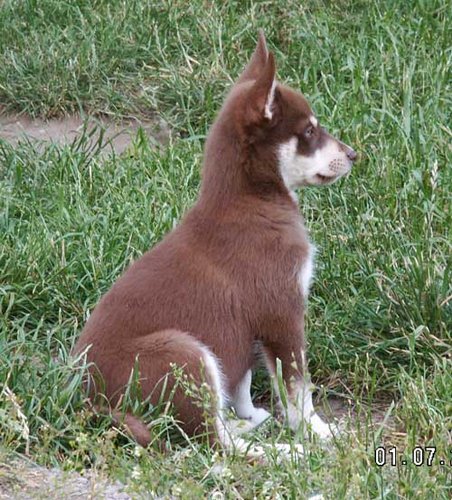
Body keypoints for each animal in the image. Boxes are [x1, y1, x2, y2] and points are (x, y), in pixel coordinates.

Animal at [74, 31, 356, 458]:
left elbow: (242, 379)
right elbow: (297, 387)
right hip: (183, 353)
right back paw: (282, 453)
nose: (354, 155)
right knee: (215, 445)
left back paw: (242, 426)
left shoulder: (248, 327)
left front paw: (248, 413)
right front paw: (317, 432)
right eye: (309, 132)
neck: (251, 201)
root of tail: (88, 400)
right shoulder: (283, 310)